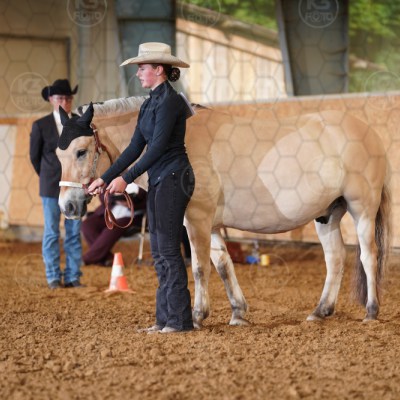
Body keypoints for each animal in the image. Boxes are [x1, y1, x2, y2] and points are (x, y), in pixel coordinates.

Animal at [56, 96, 391, 327]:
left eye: (81, 151)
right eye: (59, 154)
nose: (67, 206)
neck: (178, 144)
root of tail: (369, 132)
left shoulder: (197, 221)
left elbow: (199, 267)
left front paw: (195, 316)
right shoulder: (212, 224)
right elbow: (223, 266)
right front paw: (238, 314)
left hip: (362, 209)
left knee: (368, 255)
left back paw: (371, 312)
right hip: (327, 214)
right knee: (335, 258)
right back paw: (320, 312)